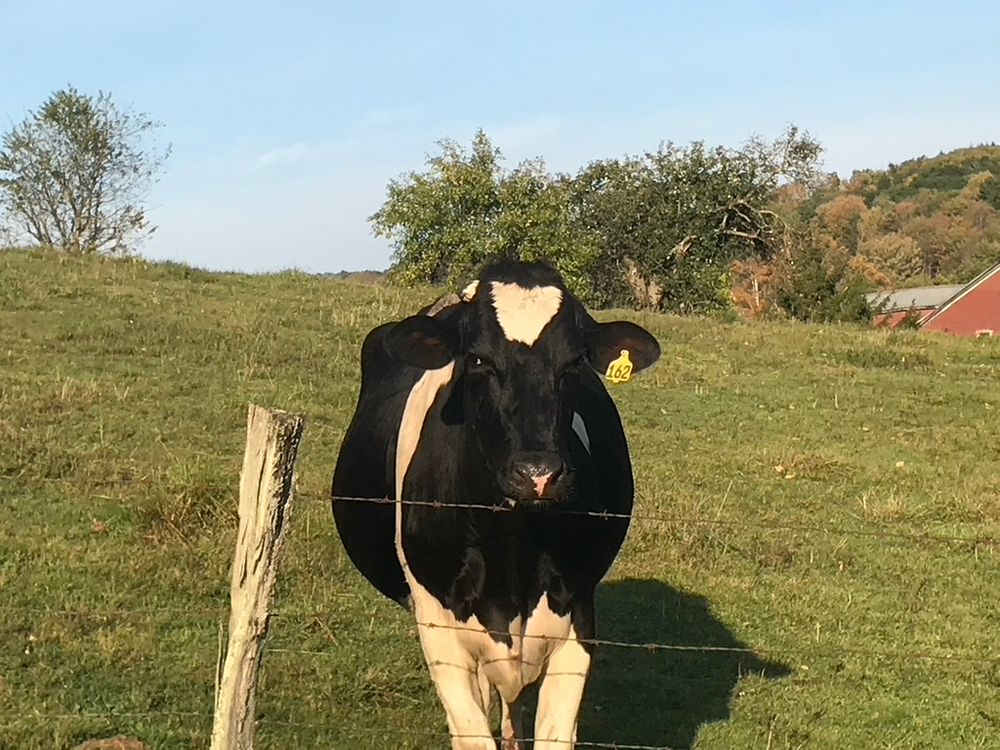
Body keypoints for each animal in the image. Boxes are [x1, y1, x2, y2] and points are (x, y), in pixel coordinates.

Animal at [332, 260, 660, 749]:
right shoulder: (437, 626)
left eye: (574, 364)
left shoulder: (578, 615)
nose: (537, 473)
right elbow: (471, 732)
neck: (512, 545)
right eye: (478, 360)